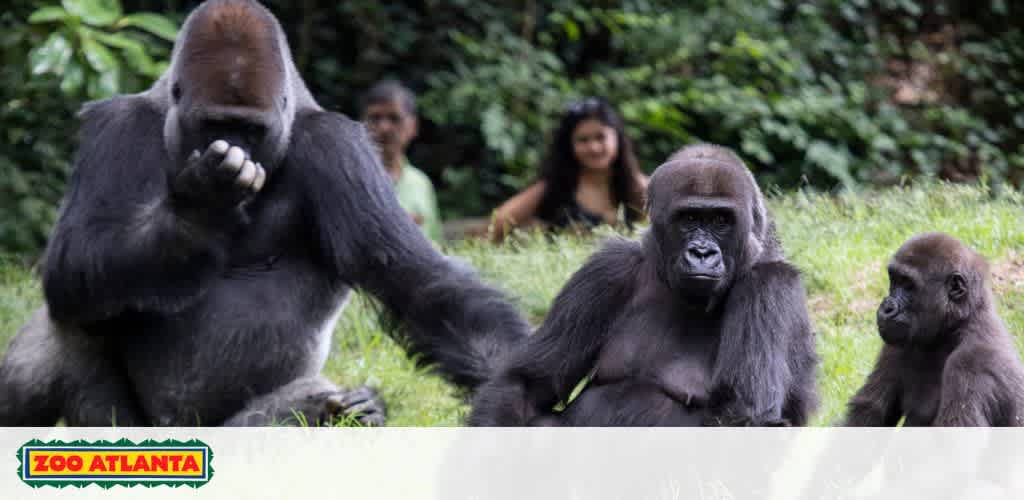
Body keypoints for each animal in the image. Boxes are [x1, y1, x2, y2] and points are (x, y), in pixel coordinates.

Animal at [0, 0, 528, 426]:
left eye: (251, 129)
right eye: (214, 124)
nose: (233, 149)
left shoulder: (340, 149)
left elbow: (420, 284)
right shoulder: (114, 127)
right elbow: (75, 258)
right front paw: (200, 210)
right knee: (73, 315)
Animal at [468, 143, 815, 426]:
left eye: (720, 221)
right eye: (689, 219)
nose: (702, 253)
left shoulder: (770, 285)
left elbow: (743, 414)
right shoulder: (606, 271)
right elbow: (526, 383)